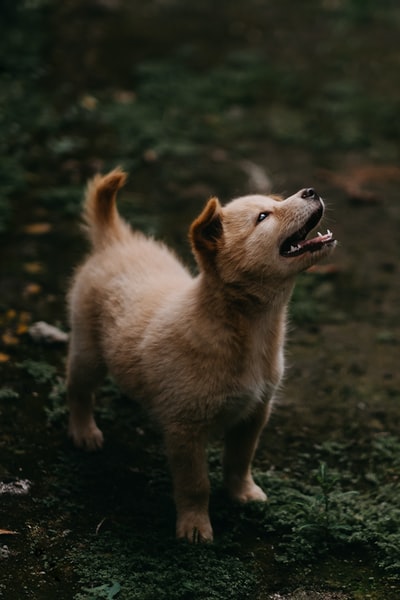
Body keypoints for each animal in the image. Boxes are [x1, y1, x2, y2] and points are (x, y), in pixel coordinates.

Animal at [67, 169, 336, 544]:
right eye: (263, 217)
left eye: (275, 204)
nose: (310, 190)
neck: (246, 330)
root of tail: (116, 242)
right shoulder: (186, 429)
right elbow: (195, 484)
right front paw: (194, 526)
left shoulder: (256, 412)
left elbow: (240, 459)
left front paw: (243, 493)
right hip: (88, 351)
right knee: (78, 389)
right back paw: (84, 432)